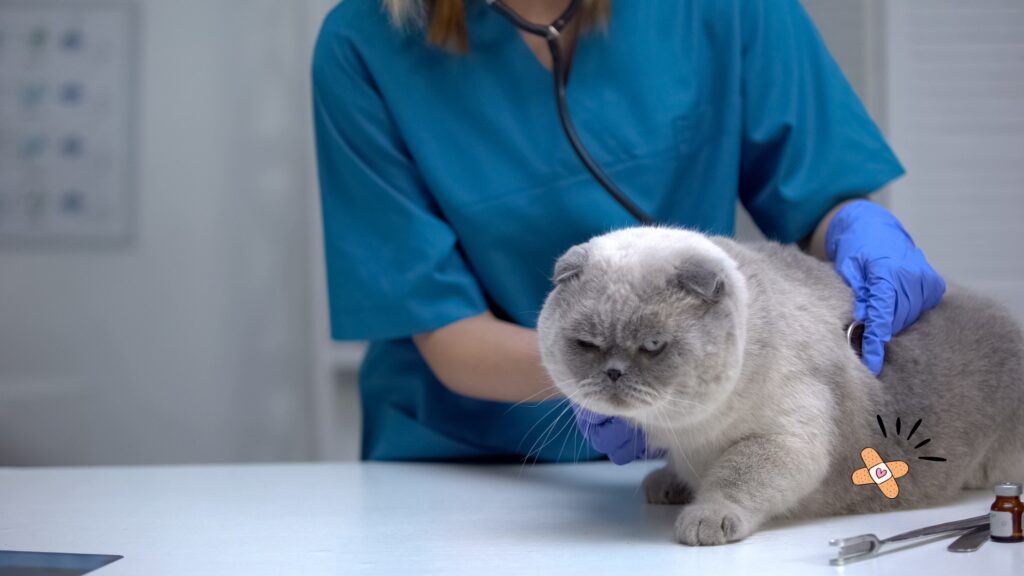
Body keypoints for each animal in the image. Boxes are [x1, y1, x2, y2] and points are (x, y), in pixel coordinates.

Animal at [536, 224, 1024, 541]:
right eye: (587, 344)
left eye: (653, 345)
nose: (614, 373)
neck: (686, 430)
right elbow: (686, 471)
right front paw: (667, 483)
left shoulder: (783, 440)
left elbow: (734, 478)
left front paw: (704, 520)